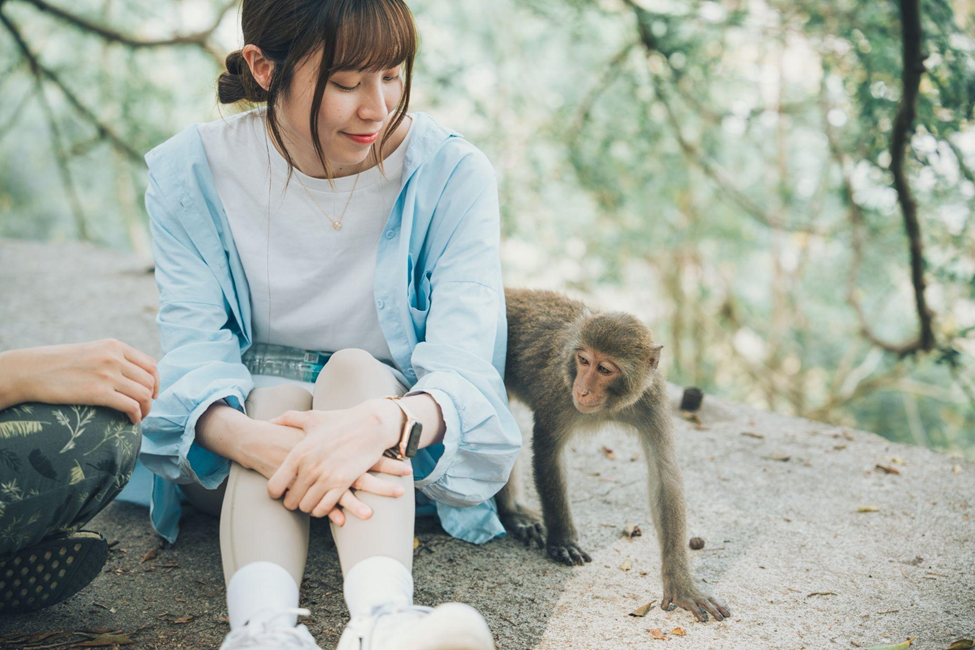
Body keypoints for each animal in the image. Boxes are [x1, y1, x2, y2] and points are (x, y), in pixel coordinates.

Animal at [496, 287, 730, 623]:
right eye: (583, 360)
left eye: (604, 369)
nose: (581, 390)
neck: (610, 405)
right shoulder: (559, 390)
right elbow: (548, 454)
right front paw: (563, 541)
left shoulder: (652, 396)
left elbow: (664, 474)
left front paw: (682, 584)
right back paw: (511, 513)